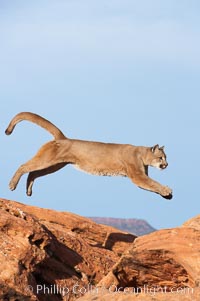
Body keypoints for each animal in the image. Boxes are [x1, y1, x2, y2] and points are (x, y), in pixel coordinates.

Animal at [5, 111, 173, 198]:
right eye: (160, 157)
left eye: (166, 158)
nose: (166, 165)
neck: (142, 154)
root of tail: (63, 138)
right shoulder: (137, 175)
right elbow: (152, 183)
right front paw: (167, 190)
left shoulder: (139, 177)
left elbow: (150, 185)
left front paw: (166, 194)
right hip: (47, 160)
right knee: (24, 166)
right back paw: (12, 185)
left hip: (55, 165)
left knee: (33, 173)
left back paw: (28, 191)